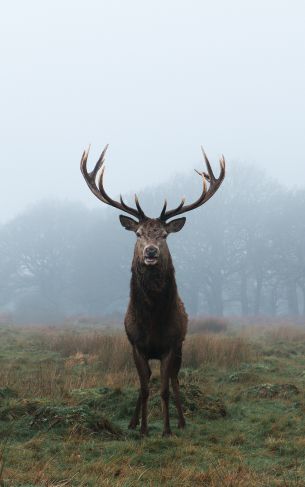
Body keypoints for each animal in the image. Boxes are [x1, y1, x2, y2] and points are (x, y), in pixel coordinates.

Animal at [79, 146, 224, 438]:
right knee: (144, 382)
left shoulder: (170, 344)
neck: (153, 322)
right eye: (138, 233)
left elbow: (165, 388)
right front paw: (144, 429)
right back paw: (133, 422)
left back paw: (181, 421)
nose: (151, 252)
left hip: (181, 347)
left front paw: (167, 429)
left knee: (175, 380)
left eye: (164, 236)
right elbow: (145, 388)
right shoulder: (136, 345)